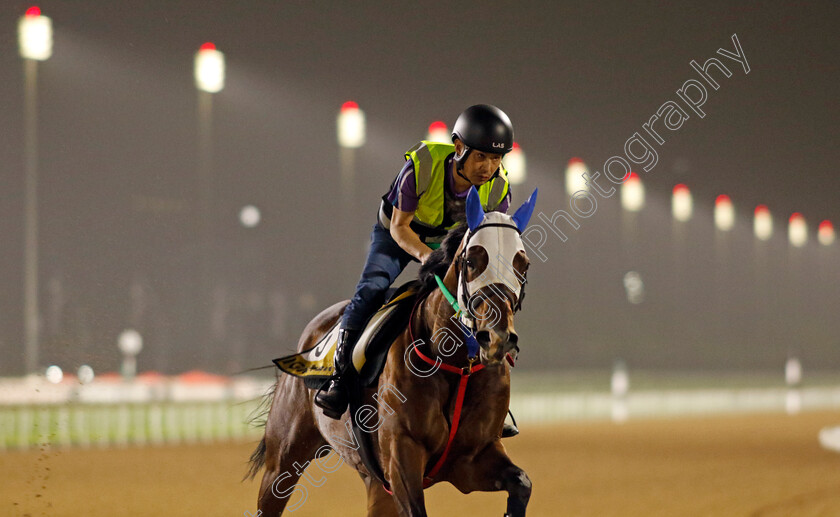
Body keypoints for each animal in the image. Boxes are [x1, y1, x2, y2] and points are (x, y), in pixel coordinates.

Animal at [249, 186, 540, 516]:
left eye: (523, 264)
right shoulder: (401, 455)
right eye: (471, 261)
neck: (455, 364)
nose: (497, 338)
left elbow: (522, 482)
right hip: (283, 460)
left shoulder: (472, 458)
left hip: (376, 483)